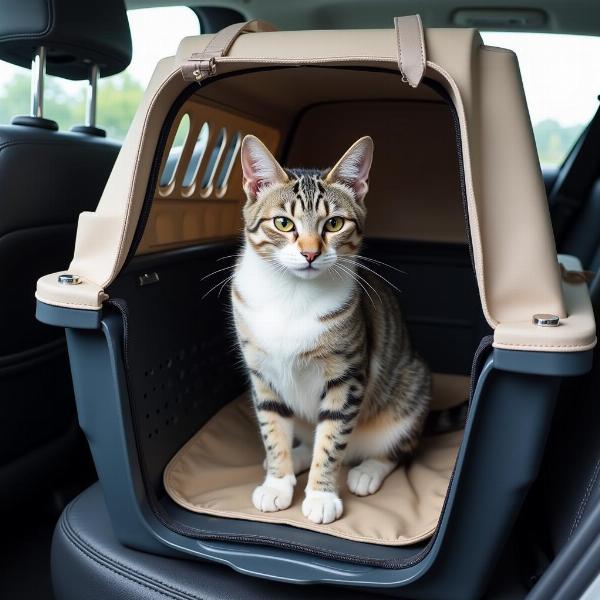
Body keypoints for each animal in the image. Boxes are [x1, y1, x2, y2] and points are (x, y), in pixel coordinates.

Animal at [230, 134, 432, 524]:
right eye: (283, 223)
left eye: (335, 224)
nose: (310, 253)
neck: (292, 295)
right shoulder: (262, 374)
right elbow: (273, 430)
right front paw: (278, 482)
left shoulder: (346, 376)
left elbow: (332, 437)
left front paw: (321, 495)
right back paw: (298, 457)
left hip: (409, 391)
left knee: (398, 450)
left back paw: (367, 470)